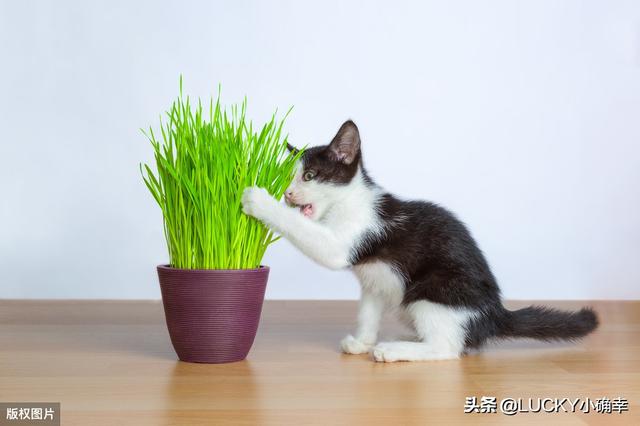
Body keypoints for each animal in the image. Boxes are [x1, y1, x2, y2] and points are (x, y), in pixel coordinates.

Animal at [242, 120, 596, 362]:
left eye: (310, 176)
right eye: (288, 179)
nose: (288, 195)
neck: (348, 202)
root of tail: (493, 314)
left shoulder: (354, 236)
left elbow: (318, 242)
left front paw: (258, 201)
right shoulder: (374, 281)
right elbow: (368, 310)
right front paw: (362, 341)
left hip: (431, 291)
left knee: (448, 348)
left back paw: (395, 350)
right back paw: (407, 341)